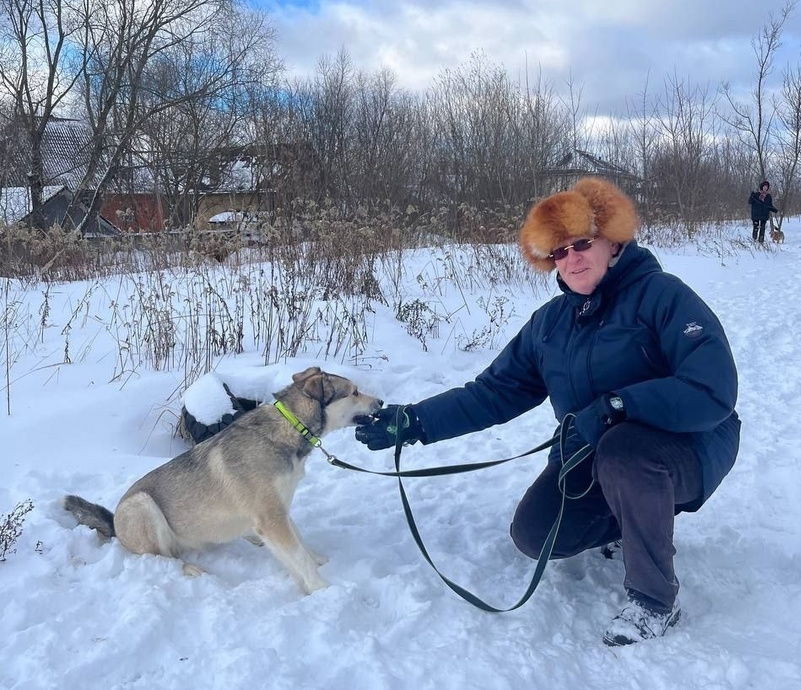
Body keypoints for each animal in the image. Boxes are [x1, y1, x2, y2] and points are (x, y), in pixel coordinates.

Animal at [62, 366, 382, 592]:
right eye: (354, 392)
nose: (380, 402)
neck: (290, 427)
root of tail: (115, 523)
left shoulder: (277, 511)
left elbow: (300, 544)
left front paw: (317, 561)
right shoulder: (271, 517)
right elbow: (298, 557)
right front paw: (323, 589)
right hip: (143, 505)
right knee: (165, 560)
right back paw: (195, 570)